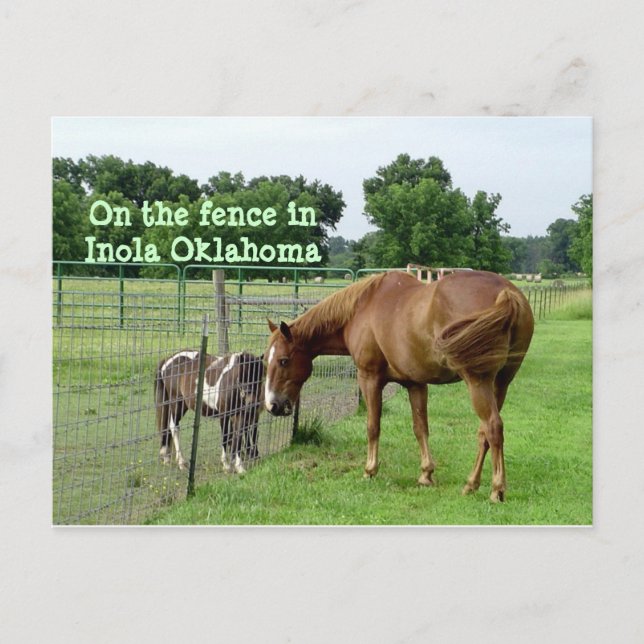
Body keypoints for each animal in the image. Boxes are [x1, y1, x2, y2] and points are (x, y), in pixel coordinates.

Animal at [264, 270, 534, 502]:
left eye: (283, 360)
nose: (272, 405)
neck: (362, 308)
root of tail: (506, 292)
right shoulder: (415, 384)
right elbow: (420, 428)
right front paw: (426, 474)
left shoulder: (369, 379)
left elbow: (373, 426)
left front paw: (369, 470)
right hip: (500, 384)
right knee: (484, 433)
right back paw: (471, 484)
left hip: (478, 382)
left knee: (493, 427)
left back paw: (496, 490)